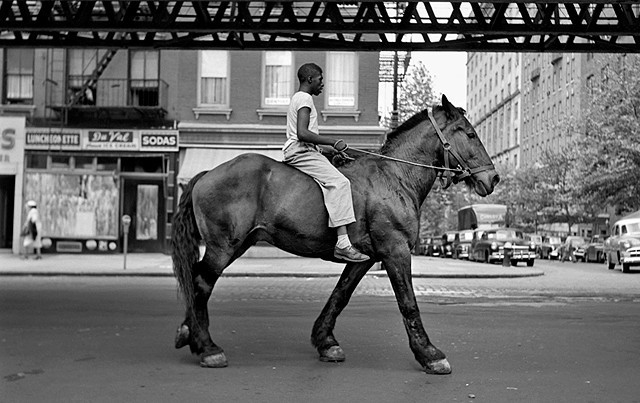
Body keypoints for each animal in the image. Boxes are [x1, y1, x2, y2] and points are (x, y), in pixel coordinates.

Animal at [171, 95, 500, 376]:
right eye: (469, 133)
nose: (493, 177)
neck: (395, 176)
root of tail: (208, 173)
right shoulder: (395, 250)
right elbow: (407, 302)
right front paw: (430, 354)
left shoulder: (365, 258)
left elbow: (340, 295)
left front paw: (325, 341)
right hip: (223, 246)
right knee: (200, 282)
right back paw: (207, 346)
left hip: (237, 244)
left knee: (197, 278)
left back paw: (189, 333)